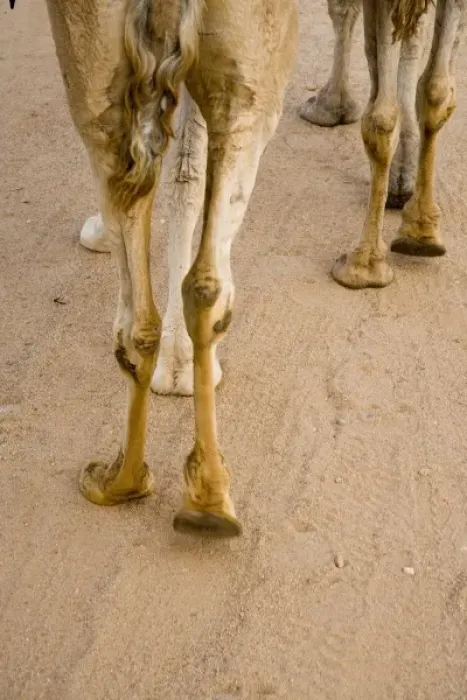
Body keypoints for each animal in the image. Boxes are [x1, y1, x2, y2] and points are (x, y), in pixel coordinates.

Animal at [301, 0, 466, 289]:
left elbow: (345, 13)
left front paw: (330, 106)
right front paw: (401, 181)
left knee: (383, 113)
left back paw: (362, 266)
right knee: (436, 87)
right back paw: (421, 231)